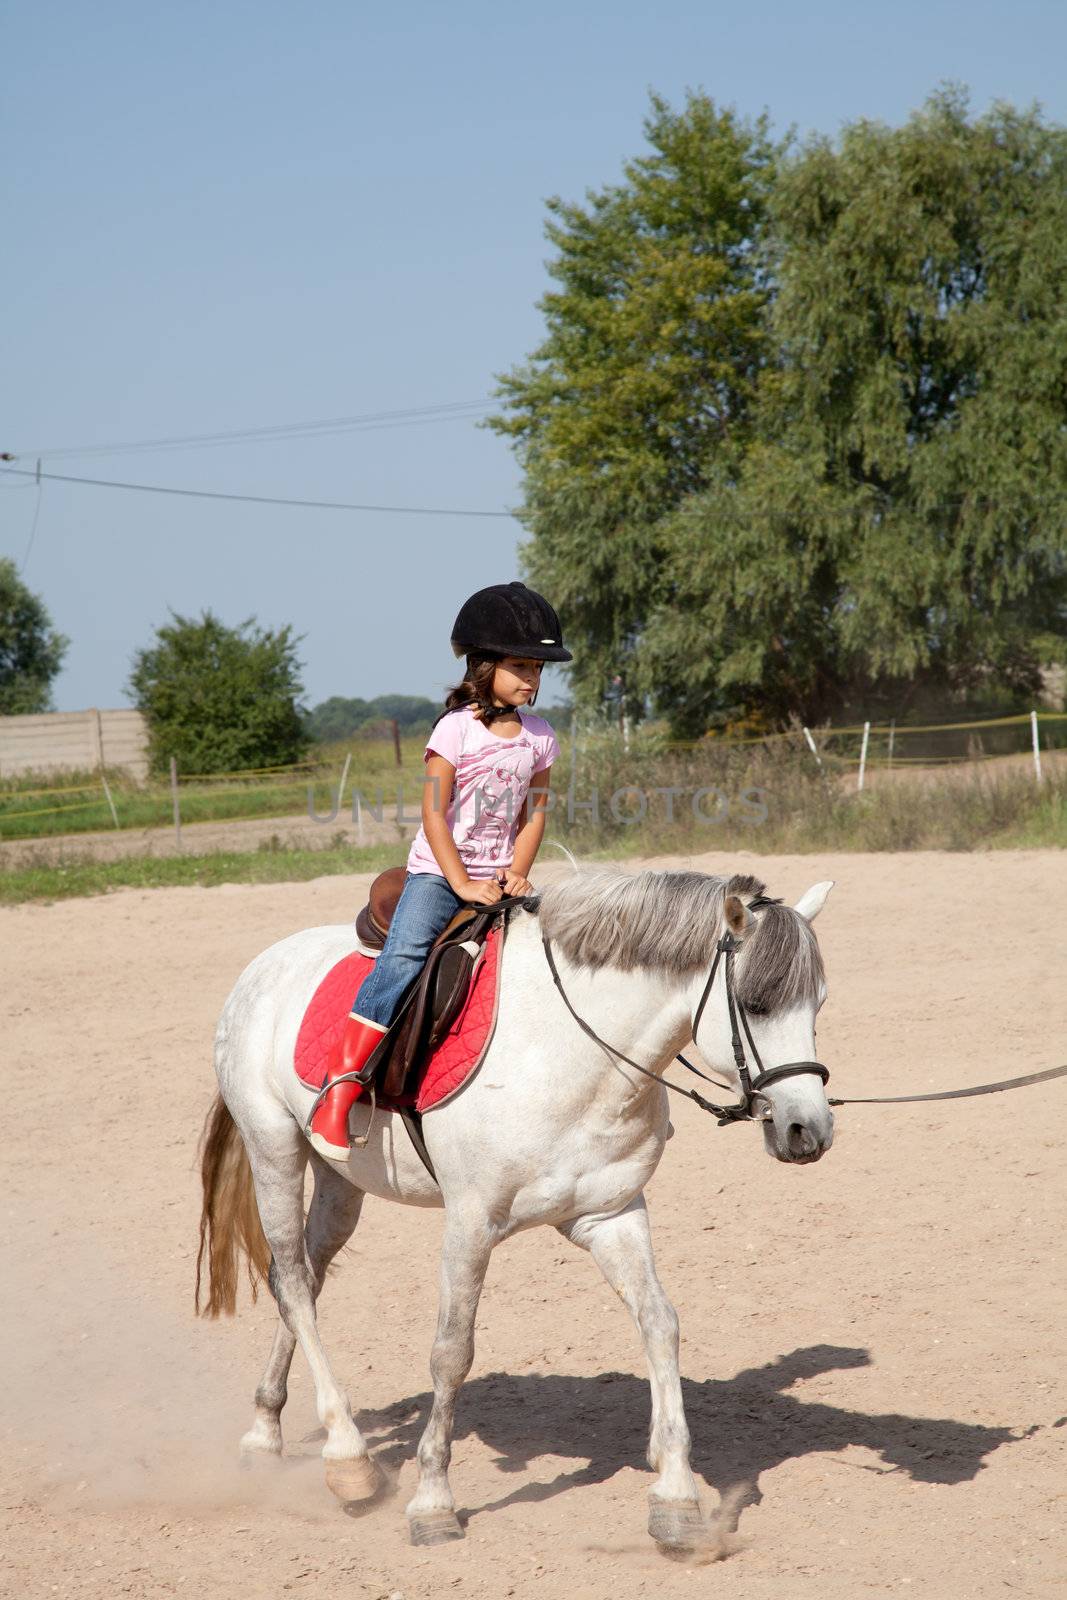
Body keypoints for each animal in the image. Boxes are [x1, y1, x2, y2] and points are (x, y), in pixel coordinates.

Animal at [198, 870, 831, 1555]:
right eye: (758, 1003)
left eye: (819, 1005)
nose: (808, 1130)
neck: (571, 1054)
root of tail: (264, 965)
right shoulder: (470, 1223)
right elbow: (452, 1351)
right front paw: (432, 1503)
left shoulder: (612, 1216)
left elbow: (660, 1325)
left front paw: (676, 1498)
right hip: (274, 1149)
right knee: (291, 1280)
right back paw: (349, 1459)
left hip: (342, 1182)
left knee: (304, 1283)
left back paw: (266, 1432)